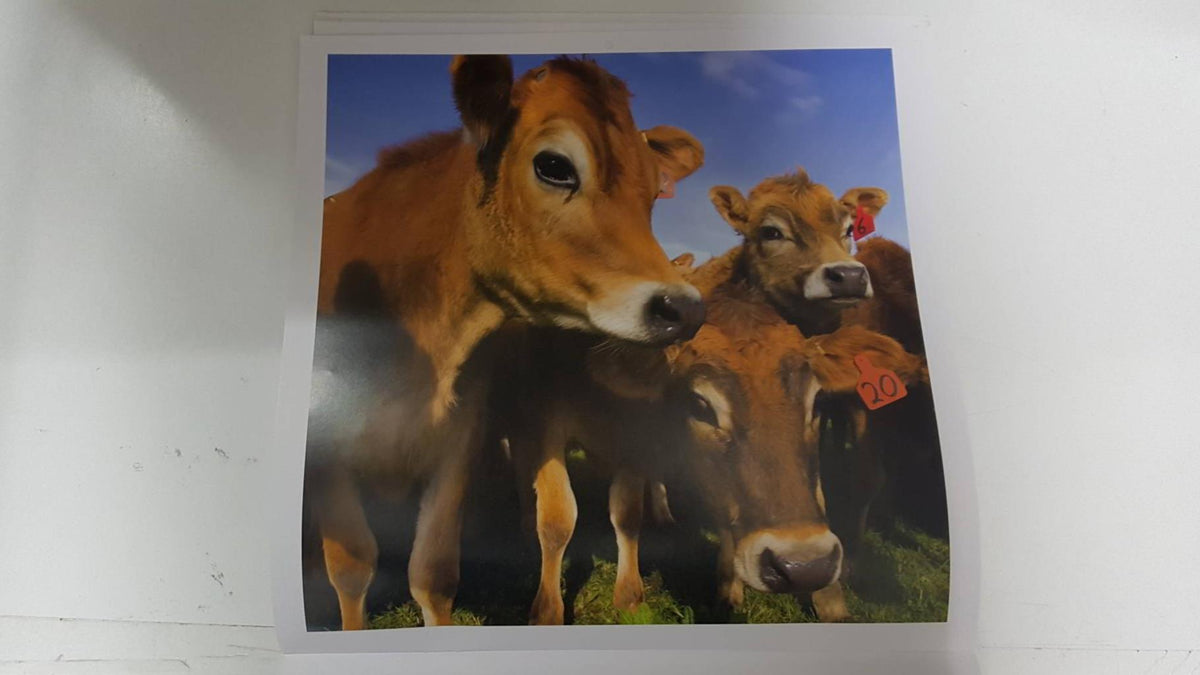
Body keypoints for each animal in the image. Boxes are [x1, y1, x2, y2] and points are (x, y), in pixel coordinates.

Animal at [304, 55, 707, 630]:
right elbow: (353, 566)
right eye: (555, 166)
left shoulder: (461, 437)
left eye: (654, 191)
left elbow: (434, 572)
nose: (685, 309)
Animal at [501, 269, 925, 625]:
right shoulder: (545, 424)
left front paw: (629, 595)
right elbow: (557, 522)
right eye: (700, 404)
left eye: (817, 401)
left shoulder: (635, 435)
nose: (805, 565)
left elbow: (627, 514)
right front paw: (547, 611)